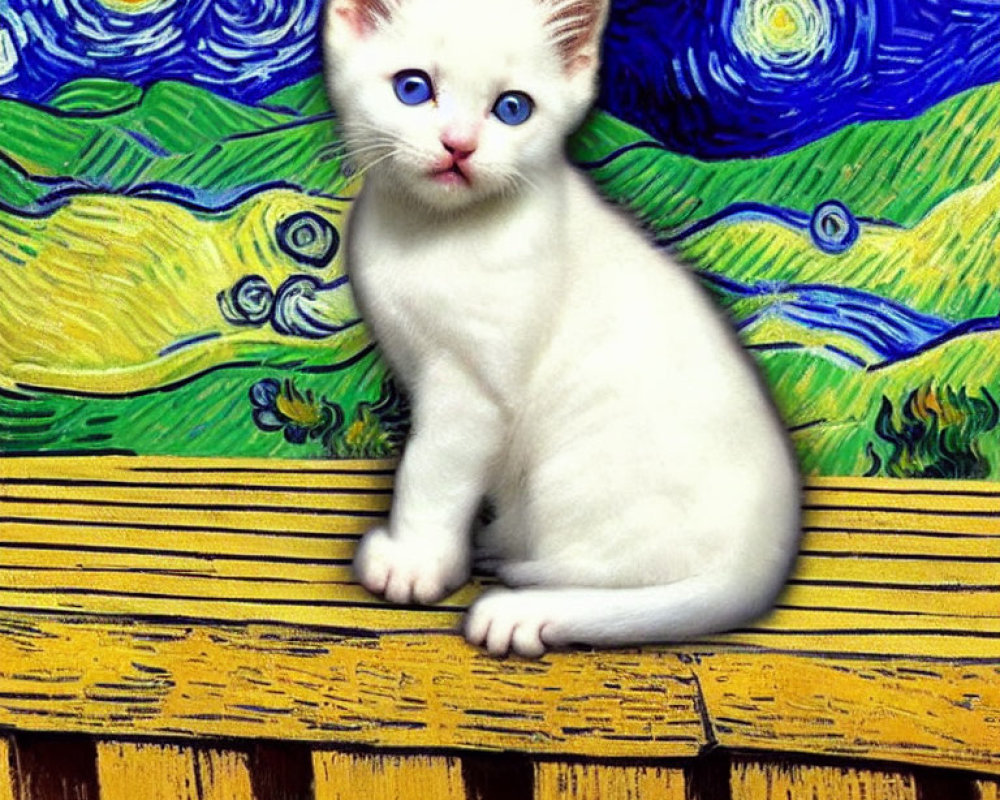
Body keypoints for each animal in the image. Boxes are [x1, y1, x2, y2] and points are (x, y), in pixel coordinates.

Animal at [324, 0, 800, 656]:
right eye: (413, 88)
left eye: (512, 108)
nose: (459, 146)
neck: (427, 237)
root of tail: (763, 562)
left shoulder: (474, 389)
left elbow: (429, 470)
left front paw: (415, 563)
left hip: (572, 477)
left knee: (611, 583)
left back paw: (520, 603)